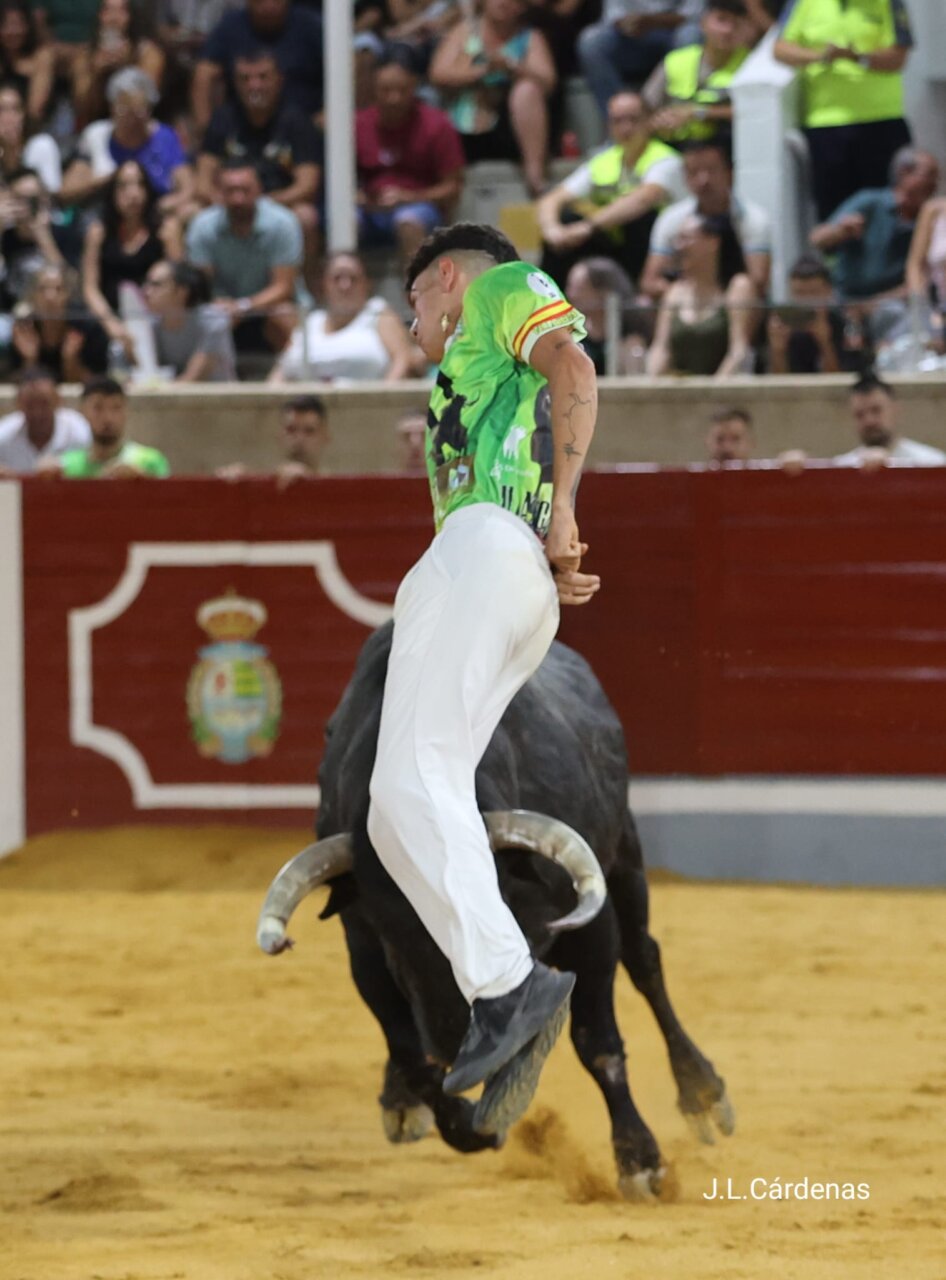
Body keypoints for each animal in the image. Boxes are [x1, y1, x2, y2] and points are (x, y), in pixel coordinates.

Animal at [258, 621, 733, 1200]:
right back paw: (404, 1102)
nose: (463, 1043)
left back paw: (702, 1093)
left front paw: (640, 1160)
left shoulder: (590, 928)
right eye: (396, 941)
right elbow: (416, 1059)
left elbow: (597, 1041)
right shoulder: (365, 948)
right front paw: (474, 1119)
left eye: (500, 920)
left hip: (625, 855)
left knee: (646, 962)